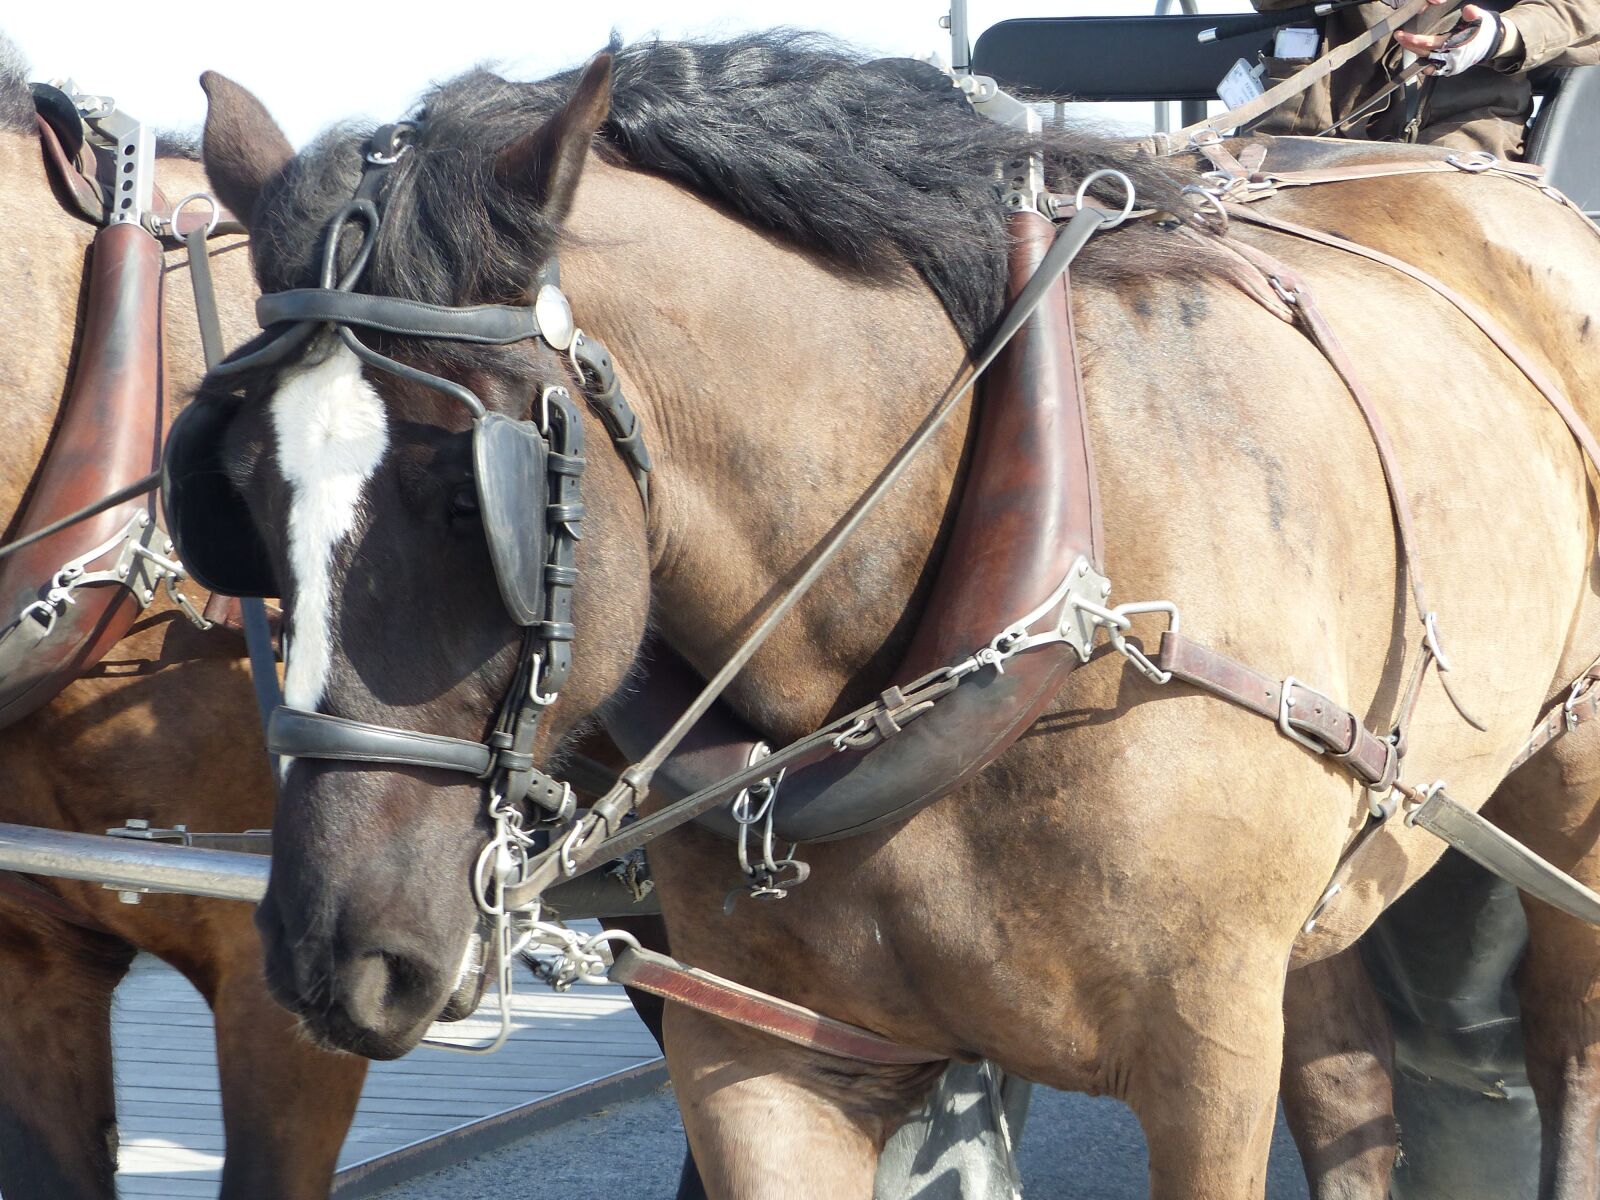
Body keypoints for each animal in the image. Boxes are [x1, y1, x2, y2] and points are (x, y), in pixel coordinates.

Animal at [191, 33, 1600, 1198]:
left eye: (463, 498)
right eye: (238, 489)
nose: (328, 957)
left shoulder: (1206, 1060)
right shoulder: (764, 1056)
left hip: (1565, 787)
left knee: (1563, 1040)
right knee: (1349, 1070)